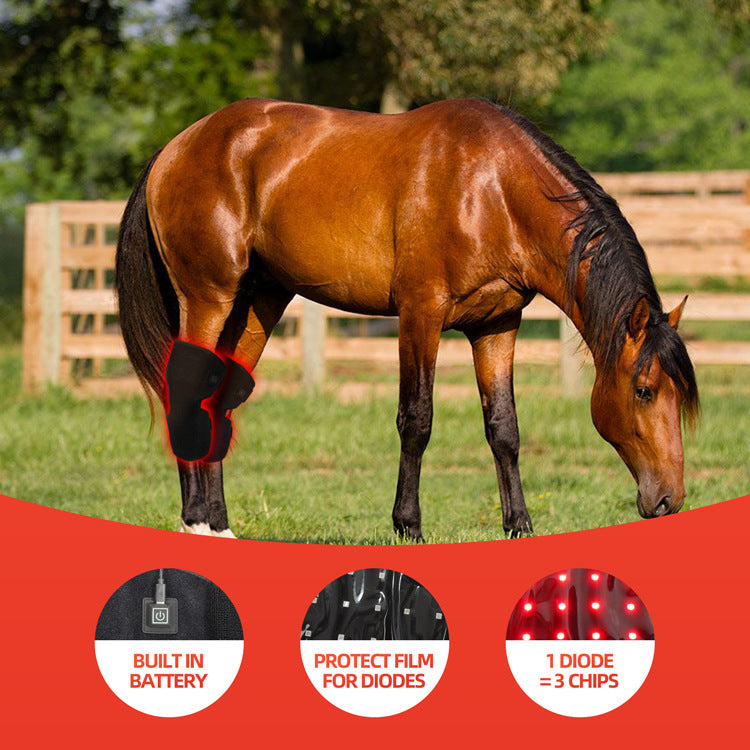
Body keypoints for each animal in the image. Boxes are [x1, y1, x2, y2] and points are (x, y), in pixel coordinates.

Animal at [115, 98, 699, 540]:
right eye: (644, 390)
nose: (668, 500)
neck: (492, 189)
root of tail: (175, 147)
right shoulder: (420, 315)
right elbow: (416, 421)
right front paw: (408, 525)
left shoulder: (497, 326)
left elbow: (504, 428)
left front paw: (519, 525)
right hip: (209, 298)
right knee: (187, 390)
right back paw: (194, 521)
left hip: (259, 302)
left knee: (218, 397)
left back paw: (220, 525)